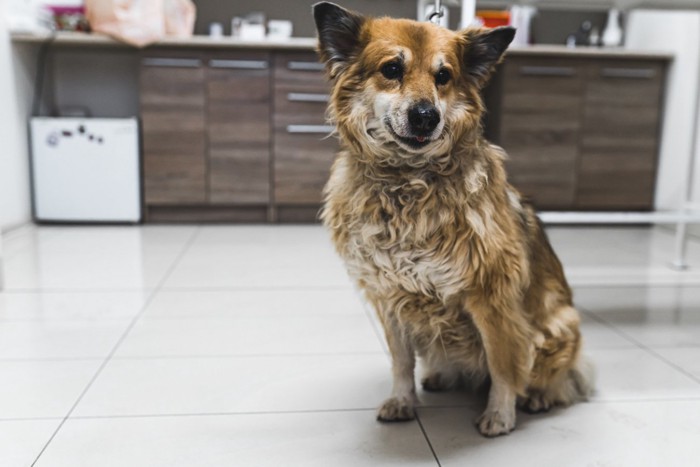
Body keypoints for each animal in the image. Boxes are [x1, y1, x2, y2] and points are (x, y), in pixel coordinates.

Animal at [314, 1, 592, 436]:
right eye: (392, 69)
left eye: (443, 76)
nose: (425, 116)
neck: (407, 182)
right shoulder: (388, 297)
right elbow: (400, 361)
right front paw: (402, 400)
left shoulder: (491, 296)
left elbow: (503, 364)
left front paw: (500, 414)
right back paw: (441, 376)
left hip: (559, 325)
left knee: (559, 376)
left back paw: (540, 396)